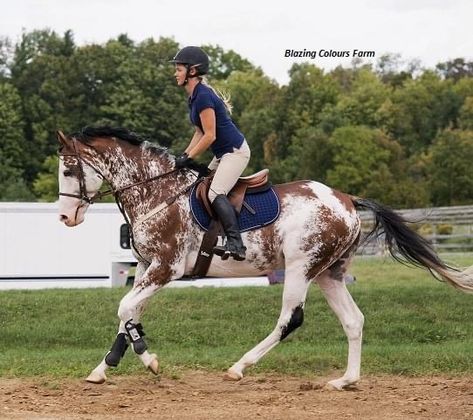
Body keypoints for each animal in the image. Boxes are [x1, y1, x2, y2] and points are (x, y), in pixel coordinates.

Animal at [58, 125, 472, 390]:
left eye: (68, 169)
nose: (66, 218)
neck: (155, 191)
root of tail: (347, 200)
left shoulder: (165, 268)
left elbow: (125, 309)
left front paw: (149, 359)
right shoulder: (147, 267)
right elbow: (129, 313)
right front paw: (103, 368)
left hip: (301, 266)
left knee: (290, 319)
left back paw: (239, 367)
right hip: (329, 273)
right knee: (353, 321)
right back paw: (346, 380)